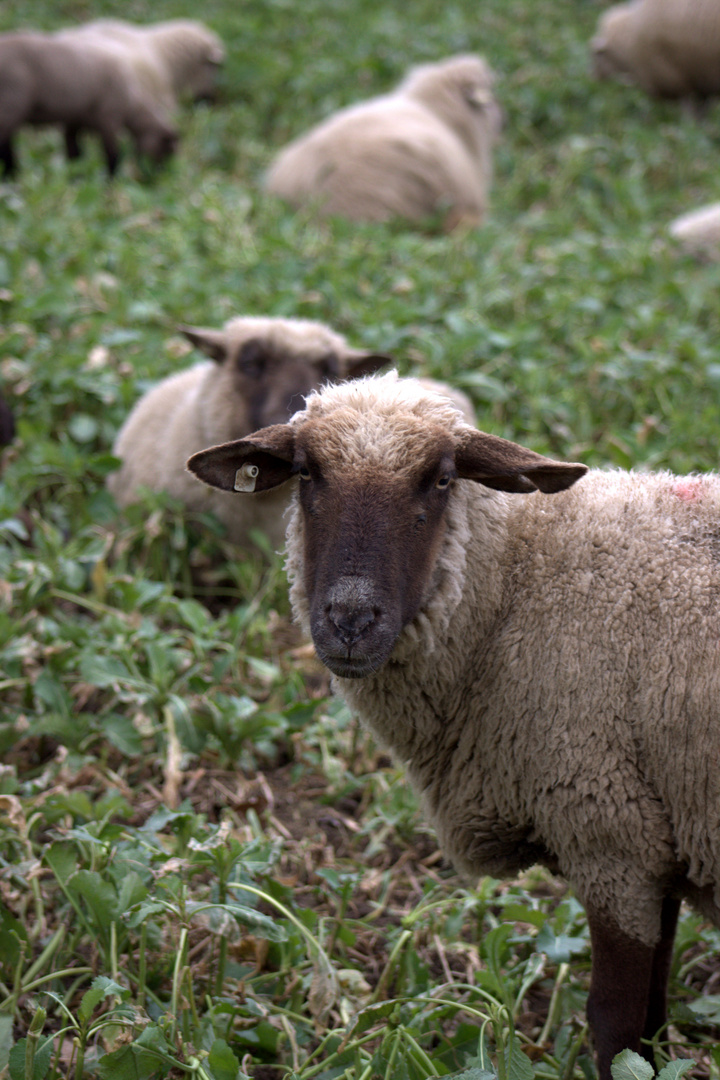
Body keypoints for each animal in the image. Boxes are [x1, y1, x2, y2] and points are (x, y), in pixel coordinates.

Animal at [0, 31, 179, 177]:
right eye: (166, 152)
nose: (156, 176)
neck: (132, 104)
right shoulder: (109, 120)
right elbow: (113, 154)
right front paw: (111, 180)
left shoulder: (75, 121)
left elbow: (74, 156)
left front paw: (76, 179)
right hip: (11, 106)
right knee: (5, 146)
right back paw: (11, 175)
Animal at [187, 369, 720, 1071]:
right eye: (304, 472)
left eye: (441, 479)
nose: (351, 621)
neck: (521, 579)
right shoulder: (658, 847)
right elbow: (654, 1027)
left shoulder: (612, 835)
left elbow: (617, 1026)